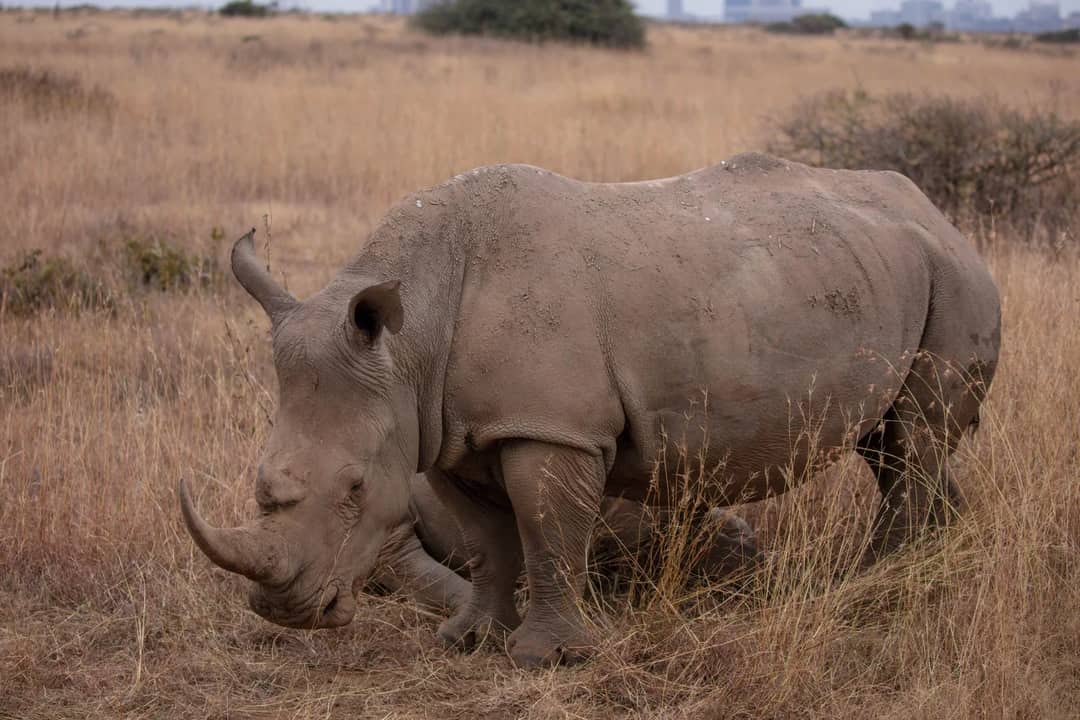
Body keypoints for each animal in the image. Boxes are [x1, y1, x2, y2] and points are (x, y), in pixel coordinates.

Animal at [179, 153, 1000, 667]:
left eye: (353, 490)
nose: (284, 612)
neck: (413, 340)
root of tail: (941, 215)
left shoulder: (553, 428)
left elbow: (546, 533)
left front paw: (549, 659)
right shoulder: (448, 430)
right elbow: (491, 540)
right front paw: (467, 642)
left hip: (954, 279)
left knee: (913, 440)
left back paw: (879, 590)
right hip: (884, 272)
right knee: (893, 446)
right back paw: (919, 569)